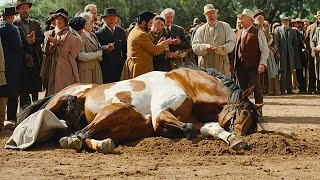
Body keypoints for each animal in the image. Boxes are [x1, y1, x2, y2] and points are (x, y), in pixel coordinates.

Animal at [13, 67, 262, 154]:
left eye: (251, 125)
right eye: (241, 114)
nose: (243, 134)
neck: (186, 85)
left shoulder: (199, 120)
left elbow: (211, 128)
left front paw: (234, 140)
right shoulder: (160, 114)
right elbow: (186, 128)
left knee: (83, 134)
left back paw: (103, 144)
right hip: (103, 107)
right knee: (77, 132)